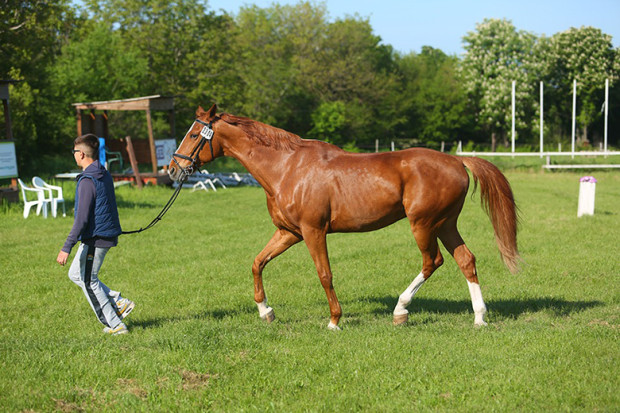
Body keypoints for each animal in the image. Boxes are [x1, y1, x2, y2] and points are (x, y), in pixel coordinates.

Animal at [168, 105, 520, 328]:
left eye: (194, 134)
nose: (172, 168)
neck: (287, 168)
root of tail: (457, 160)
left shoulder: (313, 232)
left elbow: (325, 275)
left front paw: (334, 320)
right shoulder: (288, 233)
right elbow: (257, 263)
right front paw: (265, 311)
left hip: (423, 225)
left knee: (432, 262)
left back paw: (401, 310)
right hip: (445, 224)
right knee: (466, 260)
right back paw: (479, 317)